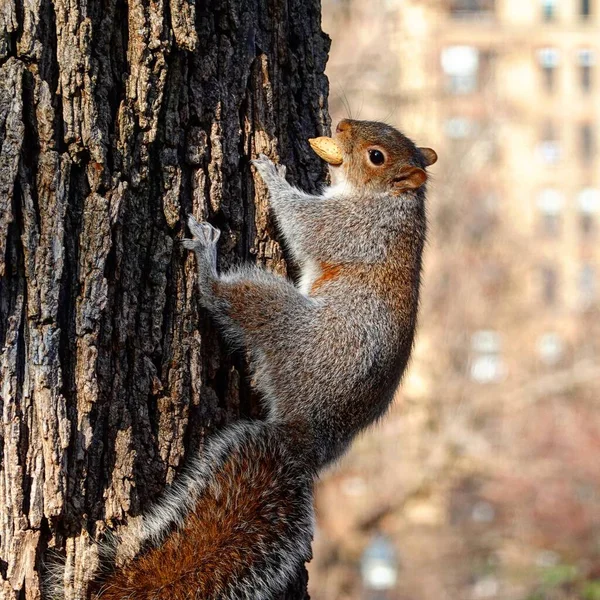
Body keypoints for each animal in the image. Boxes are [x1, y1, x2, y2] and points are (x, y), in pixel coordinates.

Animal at [69, 119, 436, 596]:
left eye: (376, 156)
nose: (341, 124)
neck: (391, 202)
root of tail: (304, 434)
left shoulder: (352, 228)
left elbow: (303, 222)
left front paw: (271, 173)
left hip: (281, 315)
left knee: (226, 299)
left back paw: (207, 260)